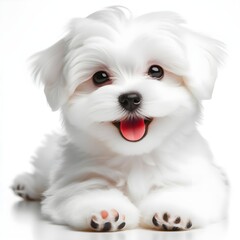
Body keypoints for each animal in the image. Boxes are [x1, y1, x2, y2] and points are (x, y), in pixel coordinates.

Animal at [11, 6, 229, 232]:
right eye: (99, 77)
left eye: (156, 71)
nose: (130, 98)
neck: (136, 156)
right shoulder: (79, 176)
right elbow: (88, 192)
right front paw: (105, 212)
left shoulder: (193, 174)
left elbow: (188, 191)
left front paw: (173, 211)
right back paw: (26, 184)